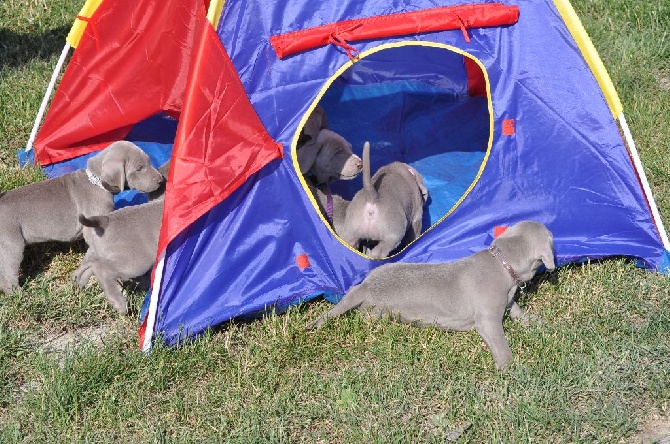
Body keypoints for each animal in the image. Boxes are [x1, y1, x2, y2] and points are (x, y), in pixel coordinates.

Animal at [0, 141, 164, 294]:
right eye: (139, 168)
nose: (161, 179)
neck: (96, 182)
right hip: (12, 245)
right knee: (9, 274)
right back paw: (18, 294)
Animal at [71, 160, 169, 312]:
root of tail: (103, 220)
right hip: (136, 261)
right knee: (101, 269)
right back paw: (119, 303)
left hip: (96, 252)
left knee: (88, 265)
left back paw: (79, 282)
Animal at [310, 220, 556, 370]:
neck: (502, 263)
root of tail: (366, 285)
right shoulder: (488, 320)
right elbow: (502, 346)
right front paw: (512, 368)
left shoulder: (508, 303)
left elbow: (521, 315)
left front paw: (542, 325)